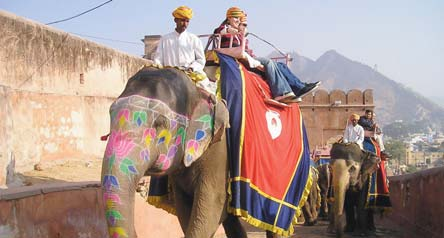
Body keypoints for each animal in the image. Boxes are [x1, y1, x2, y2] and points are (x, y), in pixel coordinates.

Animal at [100, 66, 246, 238]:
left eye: (160, 123)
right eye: (110, 114)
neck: (197, 90)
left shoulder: (219, 150)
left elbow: (212, 205)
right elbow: (184, 208)